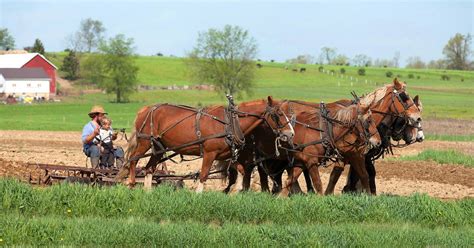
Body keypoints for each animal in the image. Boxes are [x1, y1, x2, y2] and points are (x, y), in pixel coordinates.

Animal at [117, 95, 296, 192]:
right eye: (277, 115)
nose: (290, 134)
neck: (231, 122)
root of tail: (145, 109)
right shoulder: (209, 154)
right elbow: (203, 175)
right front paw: (198, 195)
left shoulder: (227, 155)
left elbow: (240, 171)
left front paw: (234, 191)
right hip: (145, 142)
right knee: (133, 160)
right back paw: (131, 183)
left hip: (159, 147)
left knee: (149, 168)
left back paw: (147, 192)